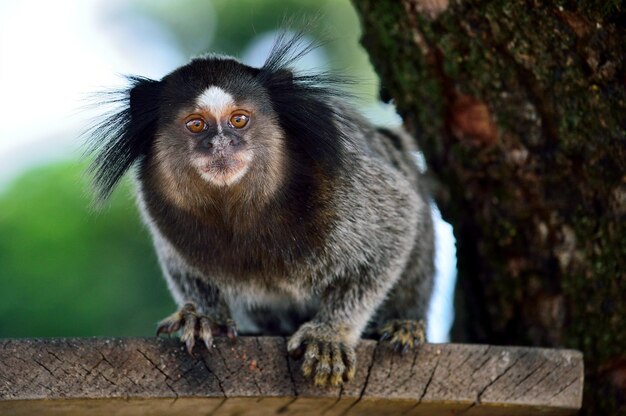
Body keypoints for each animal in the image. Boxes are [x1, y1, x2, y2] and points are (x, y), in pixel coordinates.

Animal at [85, 31, 432, 386]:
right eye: (196, 125)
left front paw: (329, 334)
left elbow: (396, 222)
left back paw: (403, 324)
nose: (220, 144)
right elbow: (186, 272)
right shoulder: (164, 215)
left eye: (239, 120)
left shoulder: (346, 179)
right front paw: (205, 317)